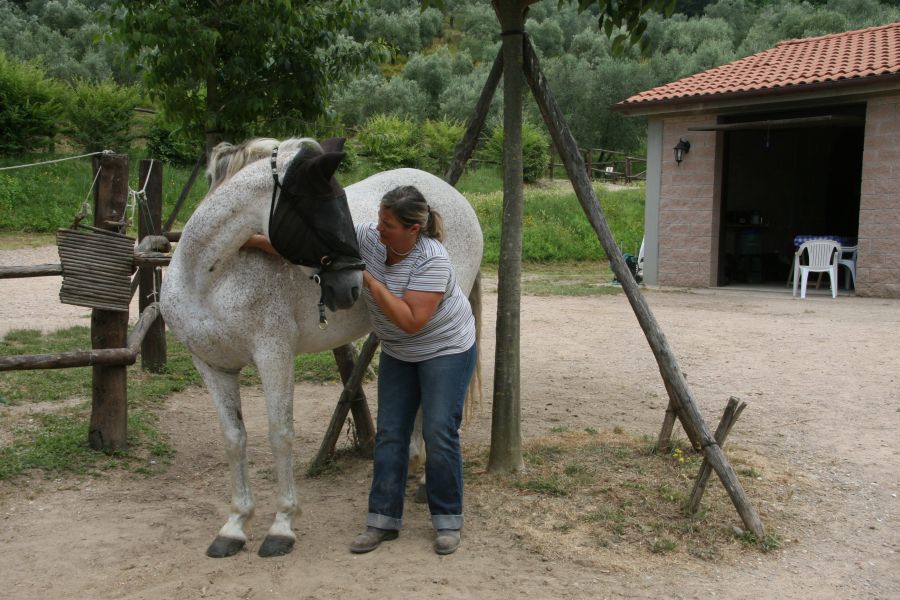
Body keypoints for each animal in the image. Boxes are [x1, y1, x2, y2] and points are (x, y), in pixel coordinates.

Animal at [162, 137, 486, 556]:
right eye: (325, 209)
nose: (351, 286)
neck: (207, 279)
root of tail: (450, 195)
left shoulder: (274, 356)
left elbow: (280, 435)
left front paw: (282, 526)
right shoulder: (211, 366)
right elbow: (234, 440)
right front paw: (234, 526)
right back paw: (415, 468)